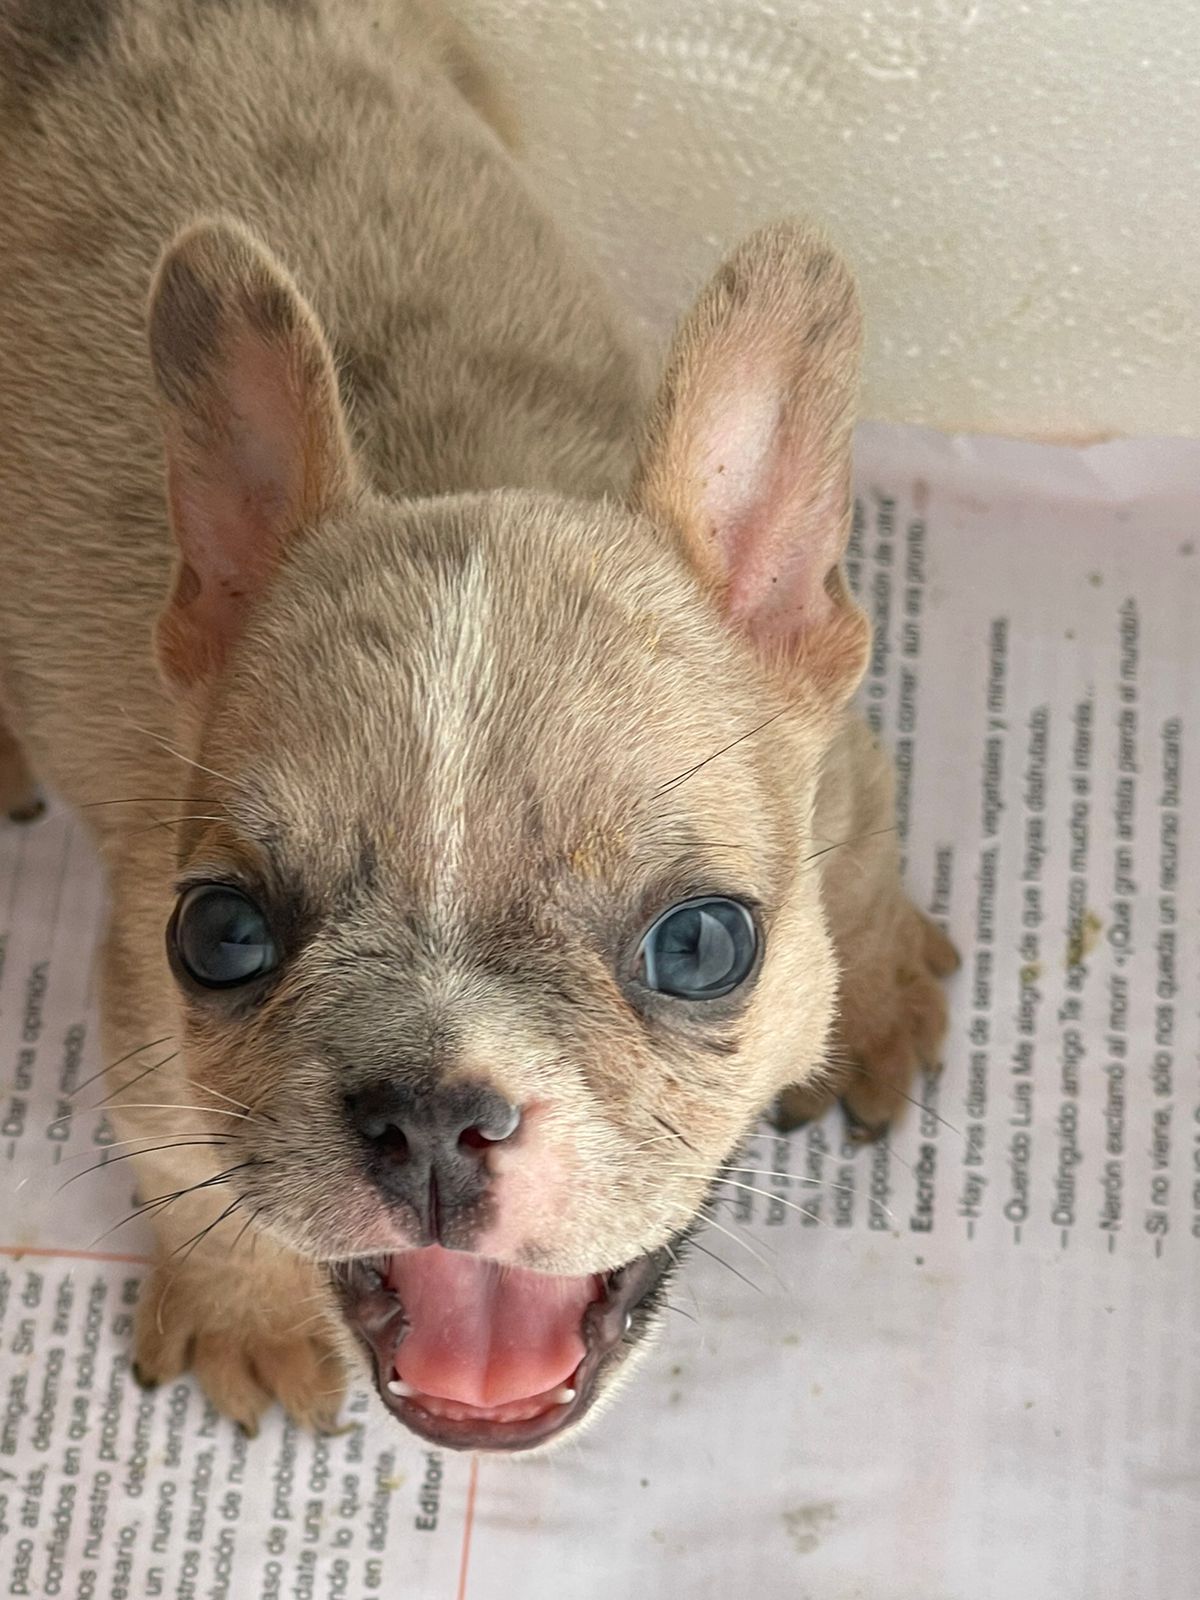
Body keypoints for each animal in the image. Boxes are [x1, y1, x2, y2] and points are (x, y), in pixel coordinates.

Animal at [2, 0, 960, 1452]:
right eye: (220, 935)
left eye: (704, 945)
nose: (431, 1114)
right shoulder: (139, 1004)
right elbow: (181, 1158)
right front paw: (242, 1309)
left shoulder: (840, 766)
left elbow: (858, 865)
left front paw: (885, 994)